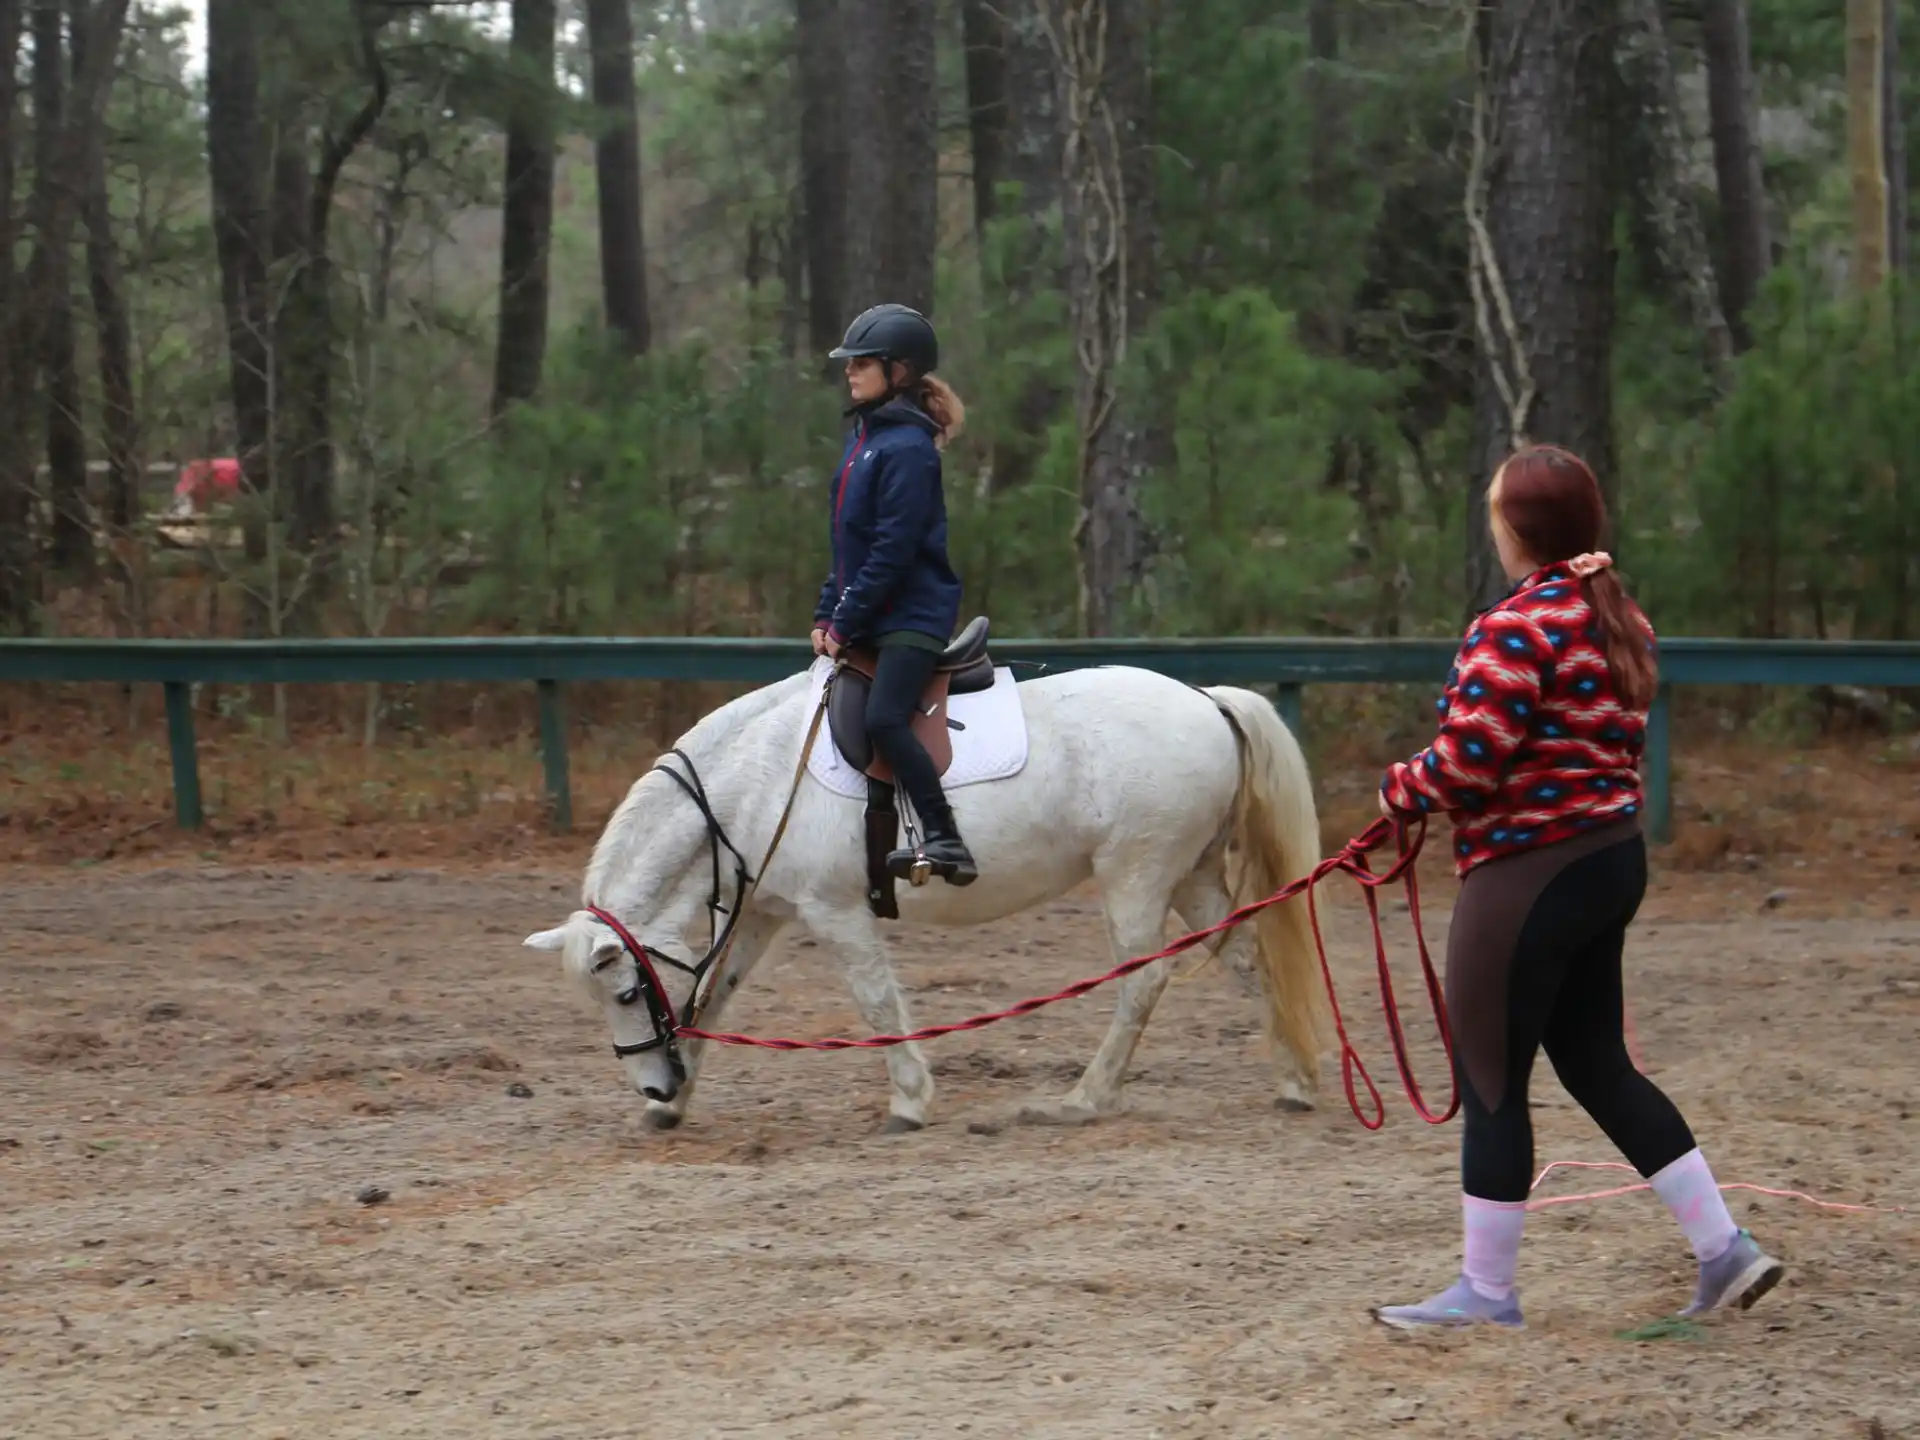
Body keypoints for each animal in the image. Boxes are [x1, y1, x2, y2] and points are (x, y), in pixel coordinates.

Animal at [523, 629, 1333, 1134]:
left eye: (624, 993)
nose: (652, 1085)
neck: (758, 777)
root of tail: (1208, 699)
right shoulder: (762, 911)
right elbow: (715, 993)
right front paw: (676, 1105)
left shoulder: (834, 912)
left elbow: (877, 1002)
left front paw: (909, 1102)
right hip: (1189, 878)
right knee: (1249, 960)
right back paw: (1295, 1083)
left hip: (1136, 875)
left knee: (1144, 983)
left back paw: (1082, 1100)